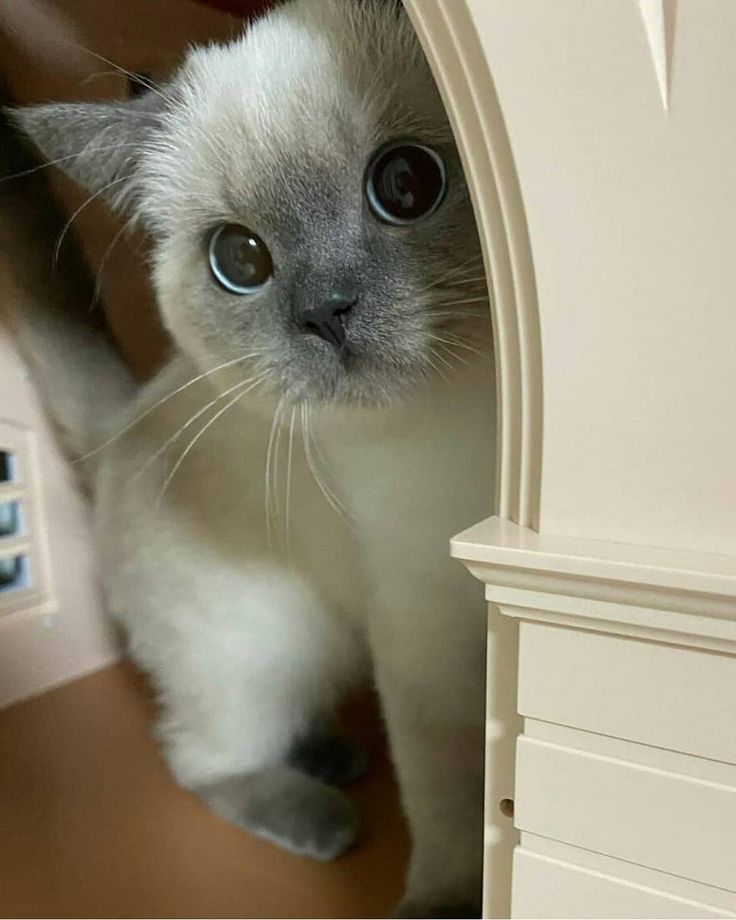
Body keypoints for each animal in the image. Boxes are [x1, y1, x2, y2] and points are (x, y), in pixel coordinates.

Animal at [4, 0, 494, 912]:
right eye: (241, 260)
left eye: (405, 185)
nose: (327, 312)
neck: (470, 425)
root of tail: (124, 421)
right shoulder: (427, 634)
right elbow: (449, 803)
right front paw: (445, 903)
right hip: (261, 646)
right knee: (201, 755)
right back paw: (321, 809)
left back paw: (333, 757)